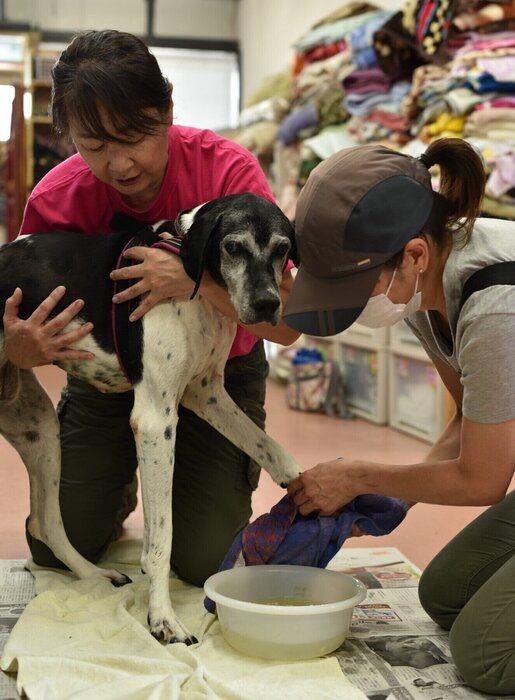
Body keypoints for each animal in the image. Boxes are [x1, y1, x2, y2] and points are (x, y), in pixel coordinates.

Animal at [0, 194, 302, 644]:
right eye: (234, 247)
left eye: (282, 249)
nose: (268, 304)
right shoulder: (155, 421)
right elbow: (163, 537)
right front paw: (163, 618)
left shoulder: (206, 393)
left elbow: (268, 445)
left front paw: (307, 484)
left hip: (38, 427)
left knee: (45, 522)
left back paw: (96, 575)